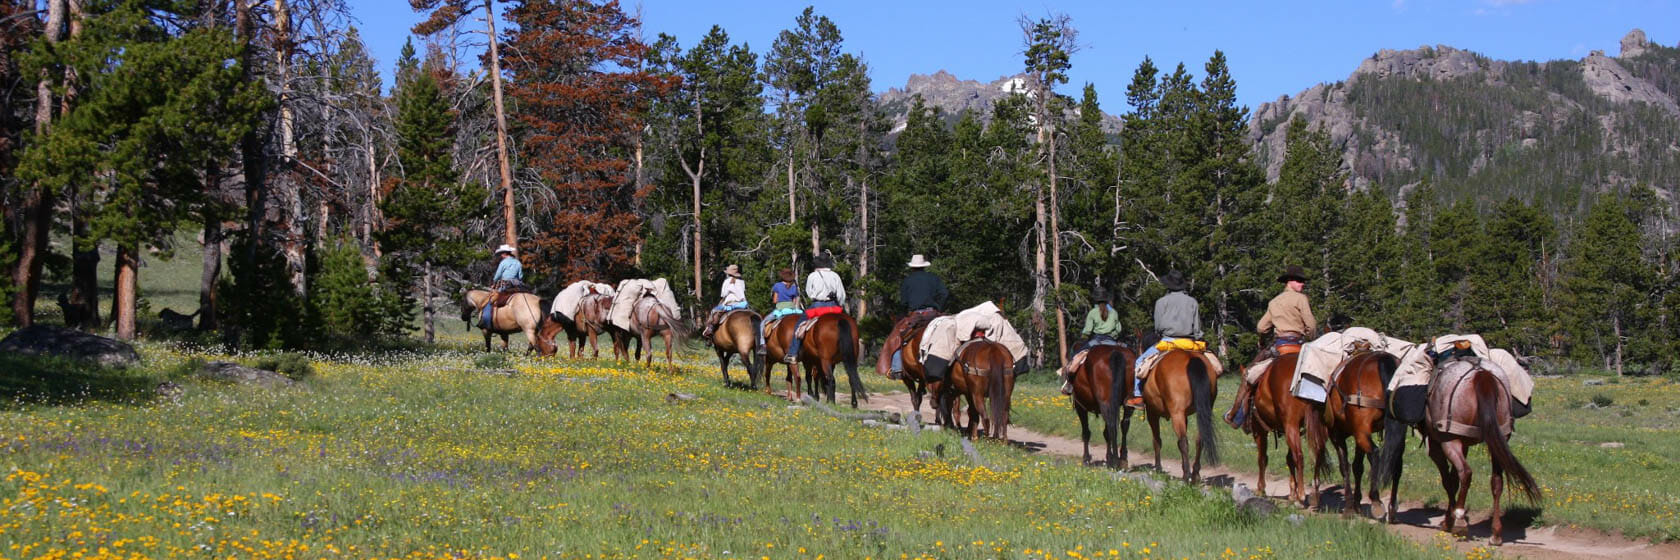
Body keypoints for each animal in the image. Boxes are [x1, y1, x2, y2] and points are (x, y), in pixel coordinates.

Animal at [1142, 349, 1223, 480]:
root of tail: (1191, 357)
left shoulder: (1152, 412)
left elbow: (1157, 440)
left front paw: (1158, 468)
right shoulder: (1184, 416)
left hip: (1176, 413)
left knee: (1183, 442)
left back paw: (1186, 476)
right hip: (1204, 410)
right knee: (1199, 439)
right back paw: (1195, 474)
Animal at [1243, 351, 1317, 504]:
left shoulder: (1260, 430)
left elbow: (1262, 458)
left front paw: (1261, 489)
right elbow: (1288, 459)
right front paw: (1292, 492)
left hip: (1290, 425)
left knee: (1299, 456)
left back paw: (1301, 496)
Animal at [1317, 351, 1397, 517]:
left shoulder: (1337, 435)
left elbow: (1345, 466)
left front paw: (1349, 506)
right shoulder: (1358, 433)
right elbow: (1357, 467)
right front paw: (1356, 503)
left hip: (1359, 433)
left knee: (1375, 453)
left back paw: (1376, 499)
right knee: (1395, 460)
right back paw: (1392, 508)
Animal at [1417, 359, 1538, 541]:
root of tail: (1481, 373)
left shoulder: (1437, 447)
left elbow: (1448, 481)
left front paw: (1449, 521)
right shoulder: (1464, 445)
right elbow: (1454, 480)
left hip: (1449, 441)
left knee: (1466, 473)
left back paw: (1460, 521)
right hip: (1497, 442)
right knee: (1496, 481)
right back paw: (1496, 534)